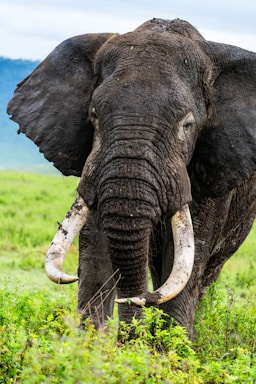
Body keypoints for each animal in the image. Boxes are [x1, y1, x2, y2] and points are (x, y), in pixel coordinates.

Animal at [7, 18, 256, 340]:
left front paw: (169, 350)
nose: (133, 300)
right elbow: (97, 243)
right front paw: (92, 345)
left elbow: (188, 256)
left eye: (187, 125)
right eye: (94, 115)